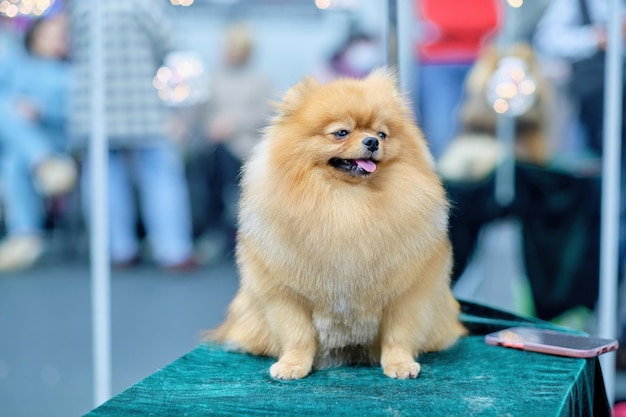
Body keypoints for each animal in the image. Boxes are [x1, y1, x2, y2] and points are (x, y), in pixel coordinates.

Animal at [210, 69, 464, 380]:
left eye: (382, 133)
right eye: (341, 132)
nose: (372, 142)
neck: (346, 203)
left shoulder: (407, 294)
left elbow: (399, 334)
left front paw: (400, 364)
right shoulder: (286, 295)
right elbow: (297, 334)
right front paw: (292, 365)